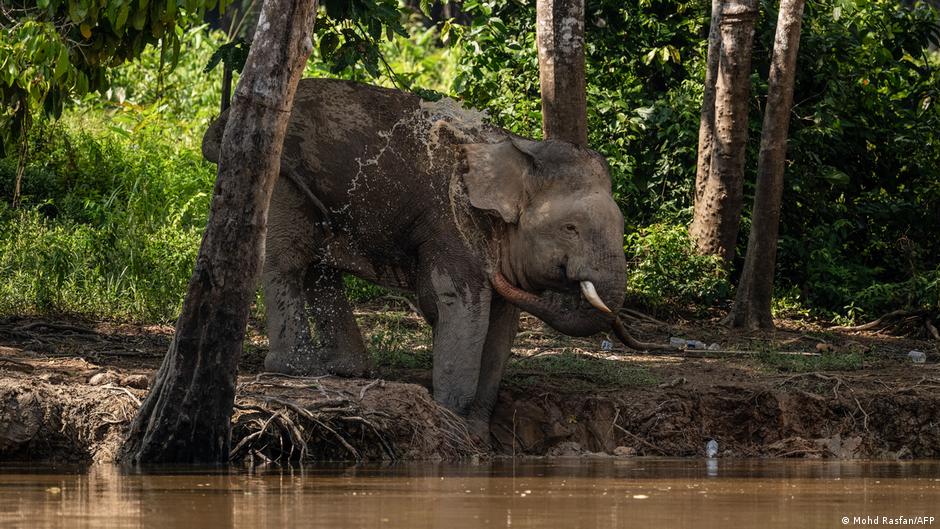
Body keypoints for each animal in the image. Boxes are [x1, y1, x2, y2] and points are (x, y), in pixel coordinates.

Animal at [202, 78, 628, 433]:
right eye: (570, 228)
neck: (518, 150)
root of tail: (220, 124)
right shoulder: (449, 224)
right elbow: (458, 303)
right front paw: (452, 419)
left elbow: (502, 322)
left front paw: (476, 430)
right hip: (280, 176)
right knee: (288, 261)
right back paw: (298, 368)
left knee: (318, 266)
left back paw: (346, 370)